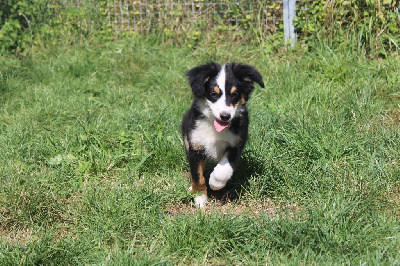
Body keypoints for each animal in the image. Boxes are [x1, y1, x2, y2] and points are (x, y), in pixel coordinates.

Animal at [182, 62, 264, 208]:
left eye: (235, 94)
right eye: (213, 94)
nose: (225, 116)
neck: (215, 128)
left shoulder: (237, 143)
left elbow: (224, 168)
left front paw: (215, 183)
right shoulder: (195, 145)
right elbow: (197, 175)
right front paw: (199, 198)